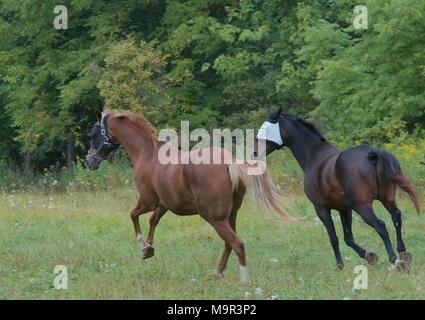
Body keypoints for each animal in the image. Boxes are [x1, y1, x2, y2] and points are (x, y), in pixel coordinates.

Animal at [84, 109, 294, 282]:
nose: (89, 161)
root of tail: (230, 161)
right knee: (229, 243)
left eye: (93, 133)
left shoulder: (148, 201)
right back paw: (218, 272)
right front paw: (149, 249)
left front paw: (144, 246)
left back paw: (243, 280)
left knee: (237, 243)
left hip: (214, 218)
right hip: (230, 216)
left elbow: (133, 215)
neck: (147, 154)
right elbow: (153, 221)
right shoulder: (164, 204)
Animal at [250, 107, 420, 270]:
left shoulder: (321, 208)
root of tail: (373, 154)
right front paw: (369, 256)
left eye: (265, 132)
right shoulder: (344, 209)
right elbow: (348, 238)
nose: (254, 154)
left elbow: (333, 238)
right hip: (387, 198)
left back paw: (395, 261)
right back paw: (403, 254)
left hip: (363, 207)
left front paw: (339, 265)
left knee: (381, 226)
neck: (315, 157)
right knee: (396, 217)